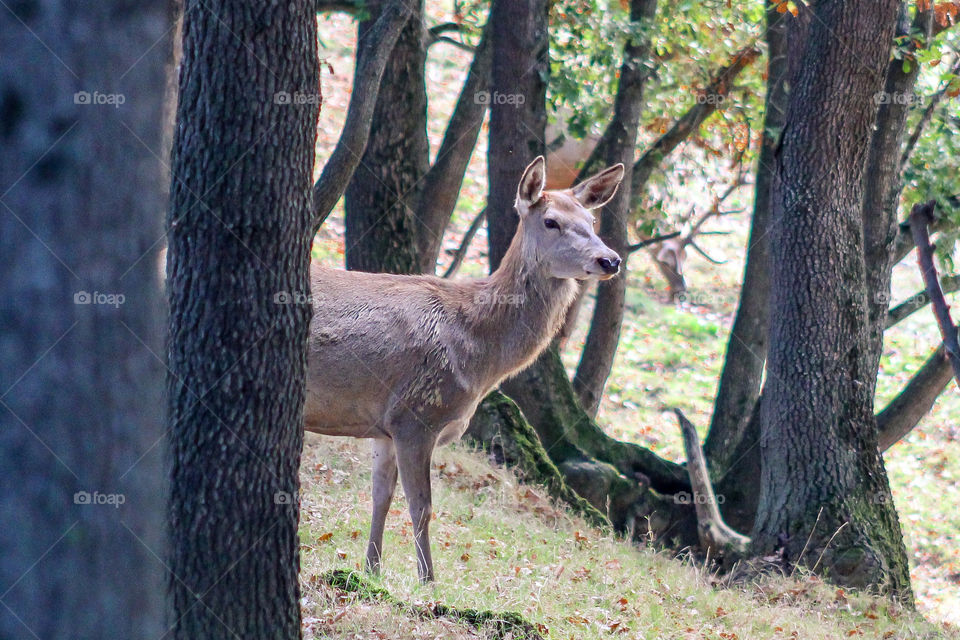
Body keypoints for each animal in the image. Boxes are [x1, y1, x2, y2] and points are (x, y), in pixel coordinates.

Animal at [303, 156, 625, 582]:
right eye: (551, 221)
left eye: (591, 220)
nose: (610, 259)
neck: (476, 356)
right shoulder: (417, 414)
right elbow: (422, 507)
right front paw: (428, 581)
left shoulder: (385, 425)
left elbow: (380, 496)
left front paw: (371, 570)